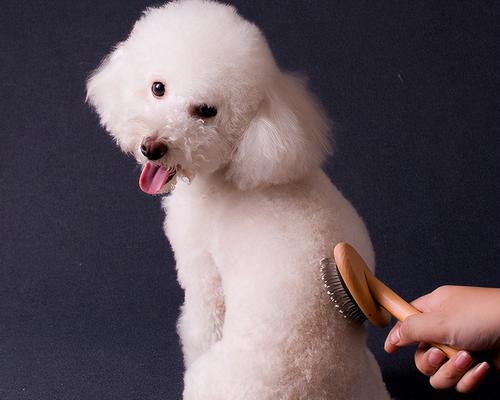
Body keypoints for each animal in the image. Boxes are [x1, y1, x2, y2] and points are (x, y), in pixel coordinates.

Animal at [86, 1, 390, 398]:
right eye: (158, 88)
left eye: (206, 111)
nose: (153, 147)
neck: (236, 164)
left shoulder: (203, 271)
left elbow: (200, 328)